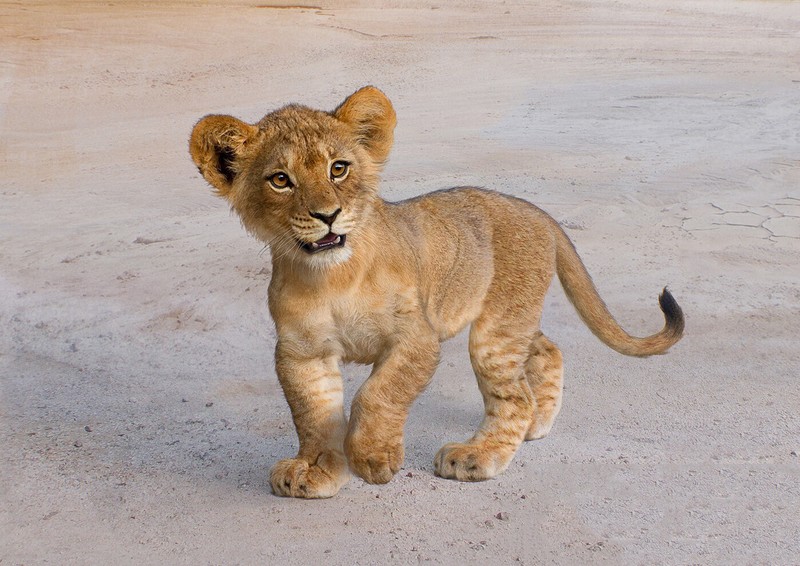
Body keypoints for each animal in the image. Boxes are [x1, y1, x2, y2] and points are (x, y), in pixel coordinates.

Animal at [189, 86, 684, 498]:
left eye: (338, 168)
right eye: (280, 180)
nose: (327, 216)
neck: (331, 277)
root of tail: (536, 211)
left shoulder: (417, 337)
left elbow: (378, 393)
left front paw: (374, 459)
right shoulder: (301, 352)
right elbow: (313, 415)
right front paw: (316, 470)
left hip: (496, 330)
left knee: (514, 396)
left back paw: (478, 455)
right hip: (511, 319)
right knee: (546, 348)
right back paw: (538, 424)